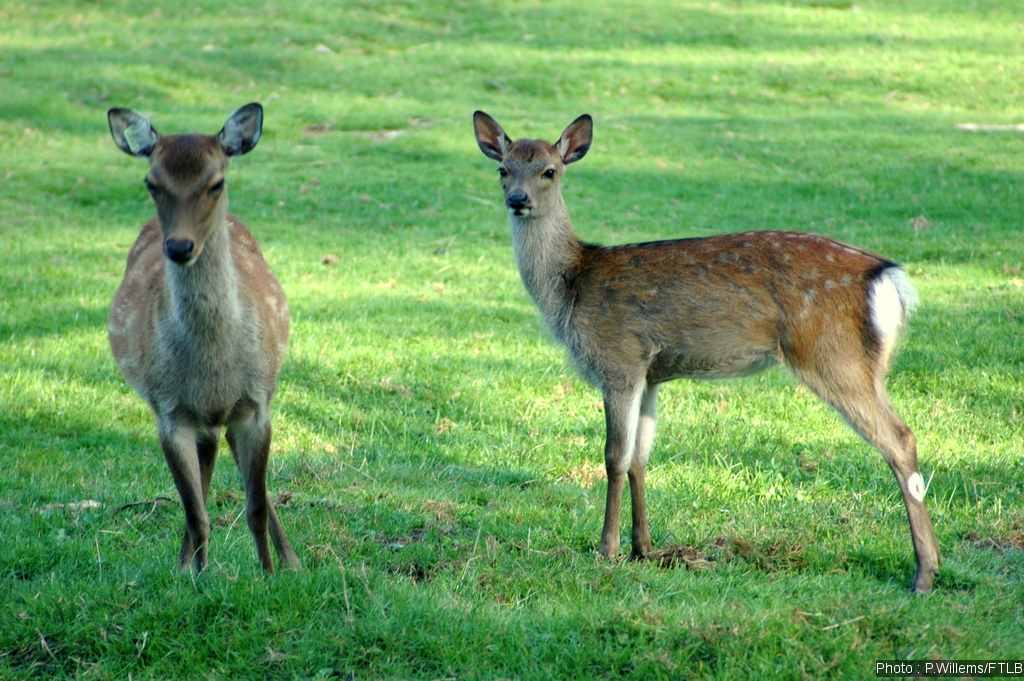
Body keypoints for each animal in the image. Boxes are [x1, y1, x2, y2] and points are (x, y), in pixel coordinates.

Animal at [106, 103, 299, 574]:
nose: (179, 247)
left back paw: (292, 561)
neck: (213, 366)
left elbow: (255, 506)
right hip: (195, 416)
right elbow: (195, 512)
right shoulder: (168, 411)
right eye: (152, 182)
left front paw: (270, 575)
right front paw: (196, 577)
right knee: (208, 463)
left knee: (235, 467)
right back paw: (187, 564)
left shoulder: (257, 404)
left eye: (216, 182)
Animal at [473, 111, 941, 593]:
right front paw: (643, 548)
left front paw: (606, 549)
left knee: (899, 439)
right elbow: (640, 458)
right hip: (866, 364)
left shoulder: (619, 357)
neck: (571, 288)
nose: (518, 199)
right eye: (503, 168)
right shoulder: (651, 373)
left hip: (830, 354)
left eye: (549, 170)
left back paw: (923, 574)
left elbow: (614, 457)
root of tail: (889, 279)